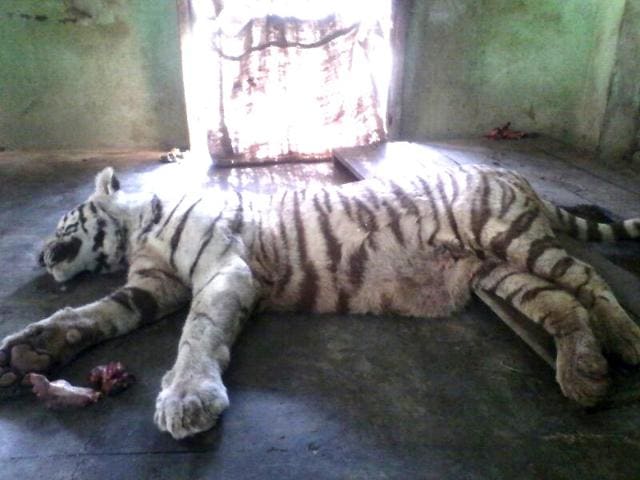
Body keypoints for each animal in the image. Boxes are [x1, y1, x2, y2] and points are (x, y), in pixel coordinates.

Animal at [1, 165, 640, 438]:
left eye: (62, 221)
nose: (37, 255)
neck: (137, 232)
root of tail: (512, 173)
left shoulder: (223, 271)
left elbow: (197, 331)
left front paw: (186, 398)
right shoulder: (153, 287)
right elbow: (93, 315)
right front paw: (28, 350)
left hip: (509, 237)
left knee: (588, 279)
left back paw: (624, 339)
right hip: (495, 270)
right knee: (560, 303)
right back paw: (585, 372)